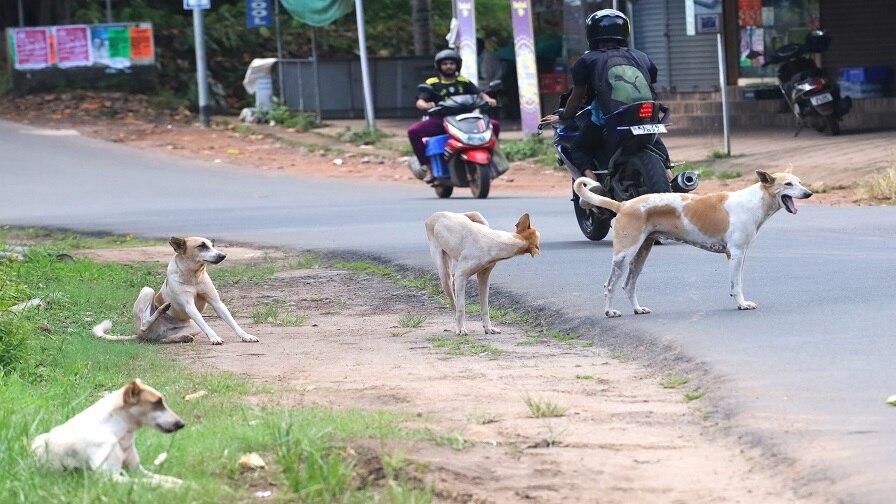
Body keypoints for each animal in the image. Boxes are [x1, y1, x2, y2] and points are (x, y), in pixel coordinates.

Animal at [31, 380, 186, 486]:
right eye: (157, 402)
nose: (182, 424)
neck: (119, 433)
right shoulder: (112, 477)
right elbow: (150, 483)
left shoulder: (138, 470)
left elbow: (168, 479)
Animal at [93, 237, 258, 346]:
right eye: (202, 246)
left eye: (212, 245)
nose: (223, 255)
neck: (193, 276)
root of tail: (141, 335)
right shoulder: (189, 306)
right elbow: (206, 325)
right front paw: (214, 337)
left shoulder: (217, 303)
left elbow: (232, 321)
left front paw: (246, 336)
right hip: (147, 291)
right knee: (145, 322)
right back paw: (161, 309)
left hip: (191, 327)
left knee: (161, 340)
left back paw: (182, 337)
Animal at [576, 171, 812, 316]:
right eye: (788, 184)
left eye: (800, 181)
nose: (809, 193)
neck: (755, 201)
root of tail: (623, 204)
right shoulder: (736, 253)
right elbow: (736, 285)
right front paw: (742, 304)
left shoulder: (740, 255)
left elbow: (738, 282)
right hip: (623, 256)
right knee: (610, 285)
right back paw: (609, 312)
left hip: (640, 255)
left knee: (628, 285)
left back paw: (638, 309)